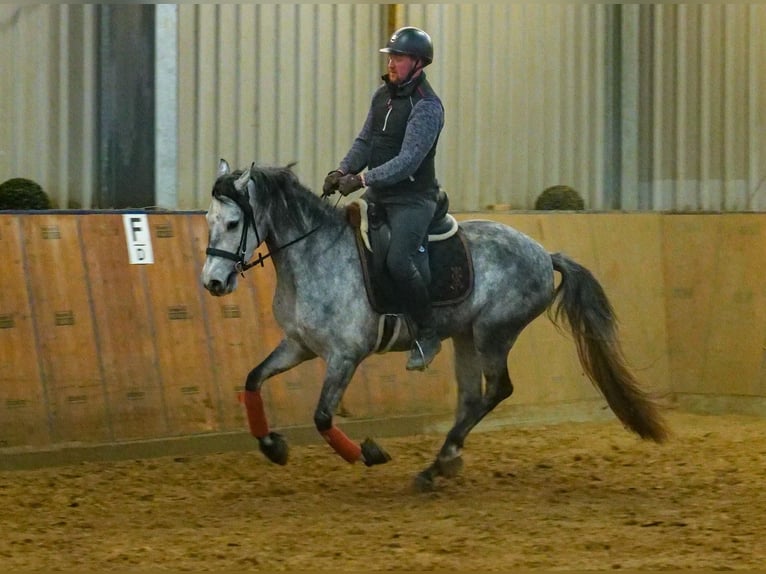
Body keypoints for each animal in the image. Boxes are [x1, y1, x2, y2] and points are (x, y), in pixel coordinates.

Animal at [201, 160, 668, 492]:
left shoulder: (344, 356)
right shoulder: (299, 345)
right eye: (208, 221)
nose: (213, 283)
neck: (315, 254)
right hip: (465, 337)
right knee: (472, 398)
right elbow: (253, 379)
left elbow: (321, 416)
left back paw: (439, 463)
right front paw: (273, 446)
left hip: (494, 334)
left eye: (233, 223)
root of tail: (542, 253)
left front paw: (368, 453)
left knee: (497, 390)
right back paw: (441, 462)